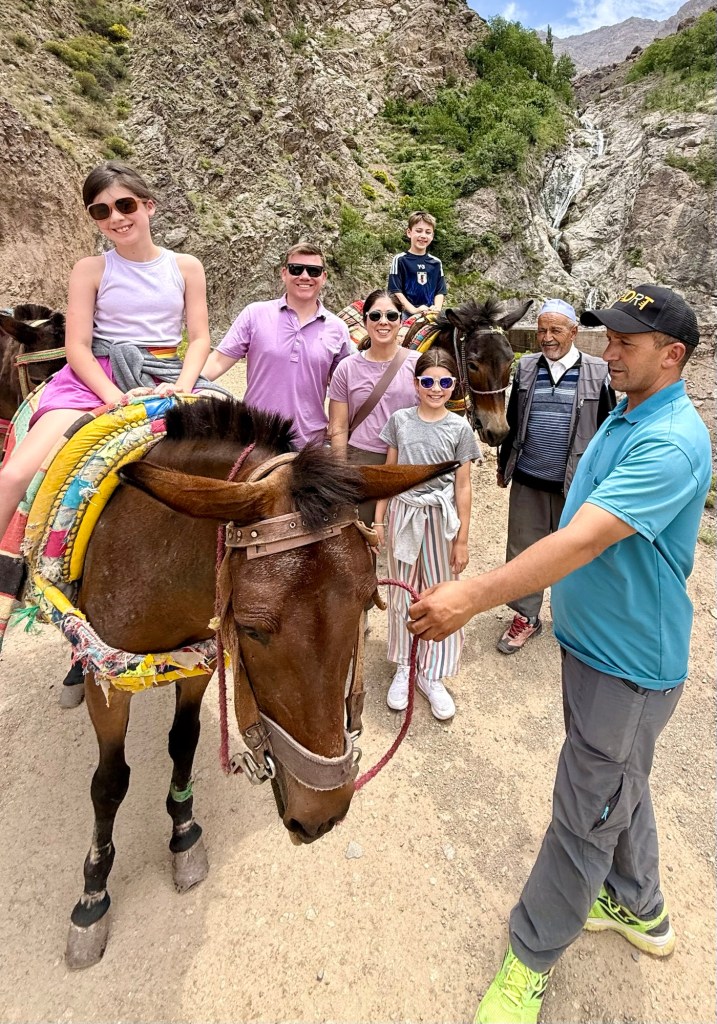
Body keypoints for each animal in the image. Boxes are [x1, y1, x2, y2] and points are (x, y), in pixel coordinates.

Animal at [61, 396, 448, 969]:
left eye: (365, 605)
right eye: (250, 629)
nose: (323, 814)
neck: (153, 555)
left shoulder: (197, 661)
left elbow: (184, 742)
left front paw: (183, 834)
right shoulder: (107, 685)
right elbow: (109, 784)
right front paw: (92, 896)